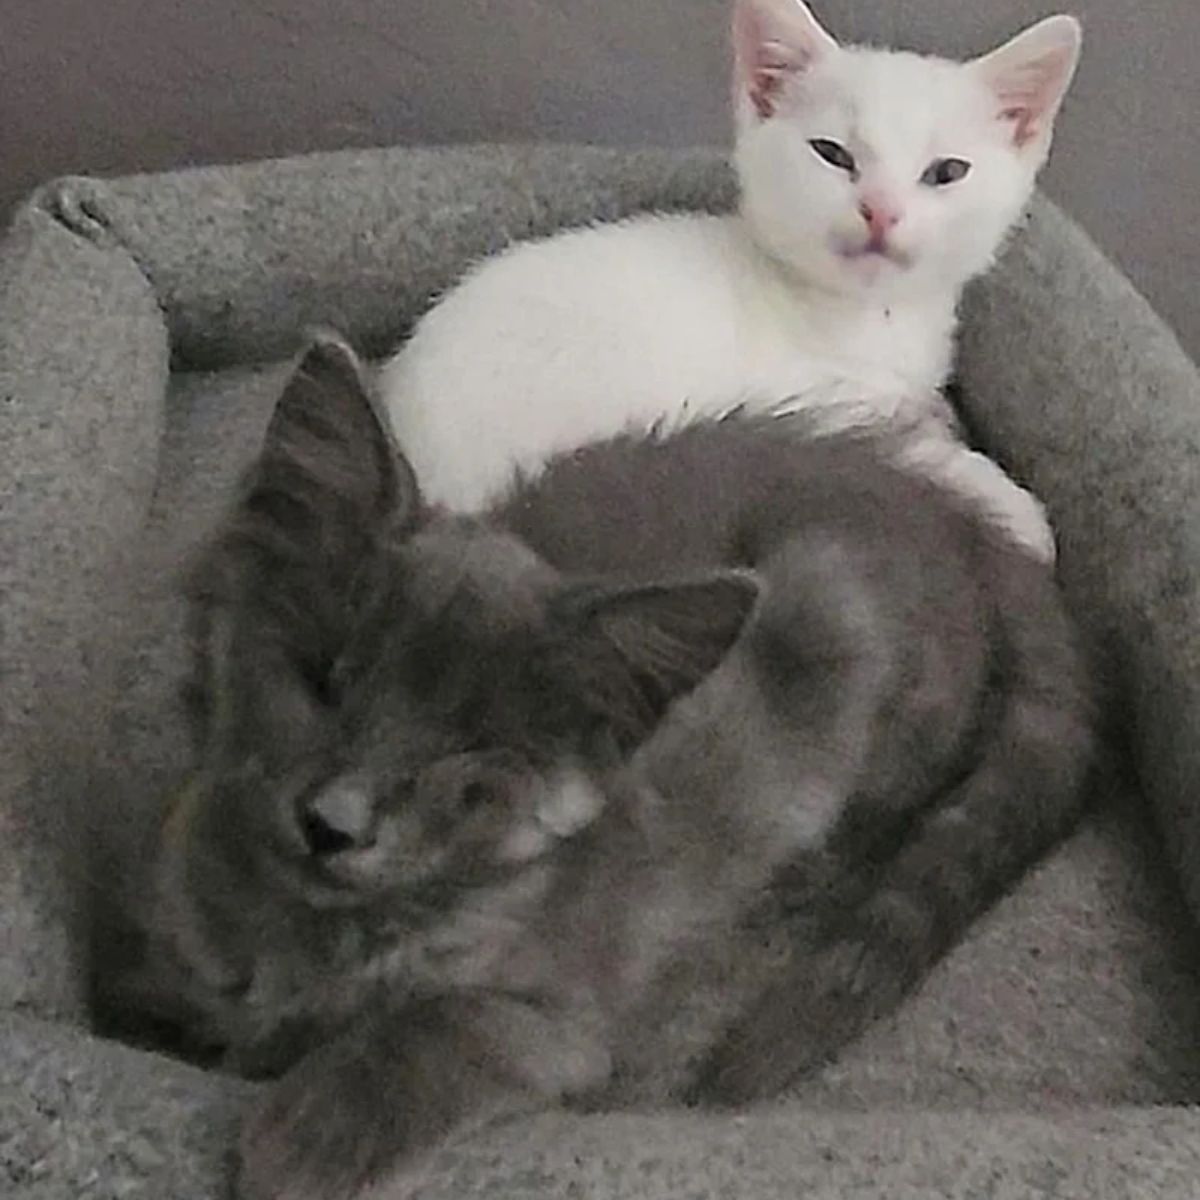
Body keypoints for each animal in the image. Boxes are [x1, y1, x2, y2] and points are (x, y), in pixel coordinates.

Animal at [147, 331, 1099, 1200]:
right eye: (323, 678)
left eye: (465, 755)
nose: (331, 823)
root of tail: (965, 526)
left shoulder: (566, 1017)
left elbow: (457, 1027)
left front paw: (311, 1132)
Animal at [384, 0, 1080, 559]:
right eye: (832, 154)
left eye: (947, 172)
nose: (880, 210)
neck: (861, 318)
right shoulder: (805, 401)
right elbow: (905, 442)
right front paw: (1013, 510)